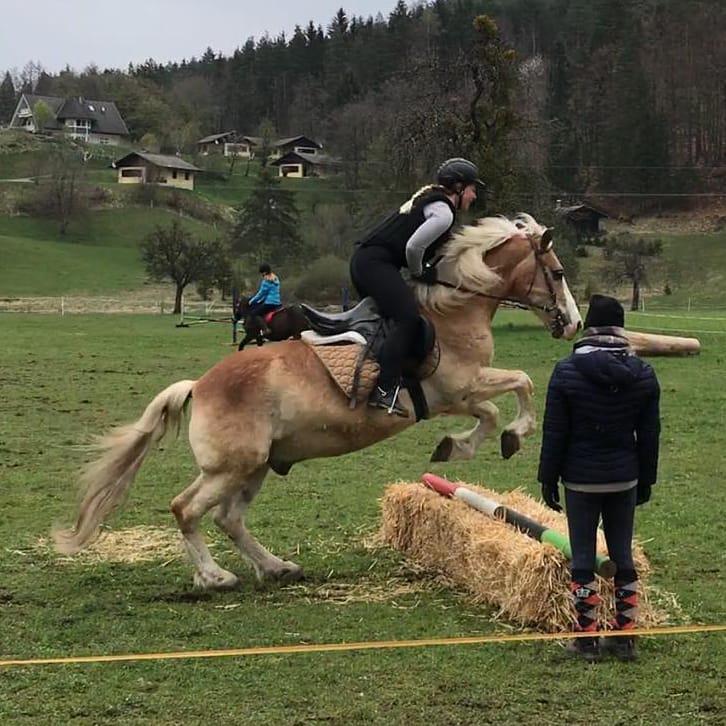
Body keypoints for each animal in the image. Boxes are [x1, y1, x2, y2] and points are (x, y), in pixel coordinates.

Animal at [54, 215, 584, 592]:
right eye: (558, 273)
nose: (574, 324)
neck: (453, 308)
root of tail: (199, 385)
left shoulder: (454, 397)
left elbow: (494, 408)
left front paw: (459, 446)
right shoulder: (459, 387)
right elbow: (521, 385)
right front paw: (509, 436)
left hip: (257, 465)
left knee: (229, 518)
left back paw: (277, 567)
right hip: (232, 465)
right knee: (187, 510)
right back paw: (214, 577)